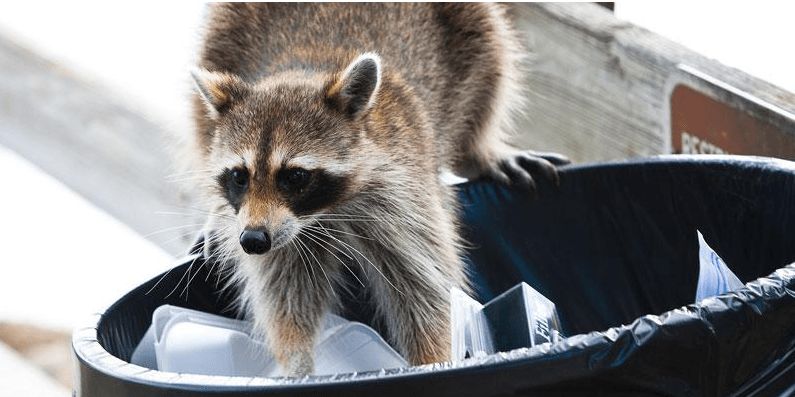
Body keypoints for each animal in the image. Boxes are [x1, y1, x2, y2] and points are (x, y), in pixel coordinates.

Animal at [189, 2, 568, 374]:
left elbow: (425, 288)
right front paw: (298, 361)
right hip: (223, 34)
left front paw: (434, 359)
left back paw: (480, 151)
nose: (252, 241)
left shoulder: (405, 192)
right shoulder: (274, 228)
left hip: (469, 23)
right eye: (239, 176)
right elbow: (285, 291)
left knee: (492, 70)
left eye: (294, 177)